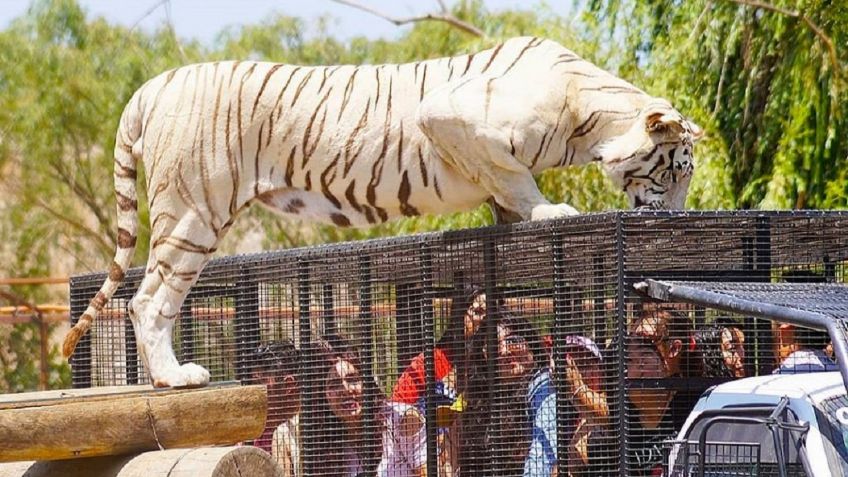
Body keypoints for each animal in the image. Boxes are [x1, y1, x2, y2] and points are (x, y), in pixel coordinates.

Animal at [61, 36, 704, 386]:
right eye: (674, 172)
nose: (677, 219)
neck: (589, 118)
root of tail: (152, 86)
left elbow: (505, 202)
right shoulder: (451, 116)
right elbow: (517, 180)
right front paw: (551, 212)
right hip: (194, 212)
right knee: (148, 299)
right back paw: (176, 379)